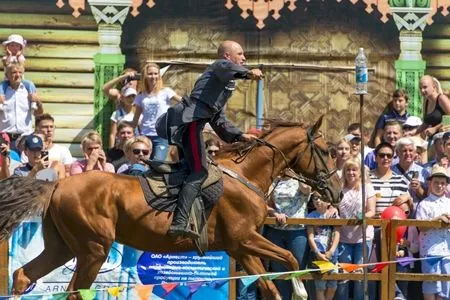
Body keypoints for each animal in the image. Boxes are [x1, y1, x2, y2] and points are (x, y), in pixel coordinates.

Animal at [0, 116, 340, 298]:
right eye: (326, 151)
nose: (336, 192)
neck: (245, 175)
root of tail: (57, 184)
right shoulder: (245, 239)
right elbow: (291, 258)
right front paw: (301, 290)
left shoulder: (242, 248)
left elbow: (269, 287)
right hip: (93, 250)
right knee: (73, 290)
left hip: (63, 247)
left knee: (23, 275)